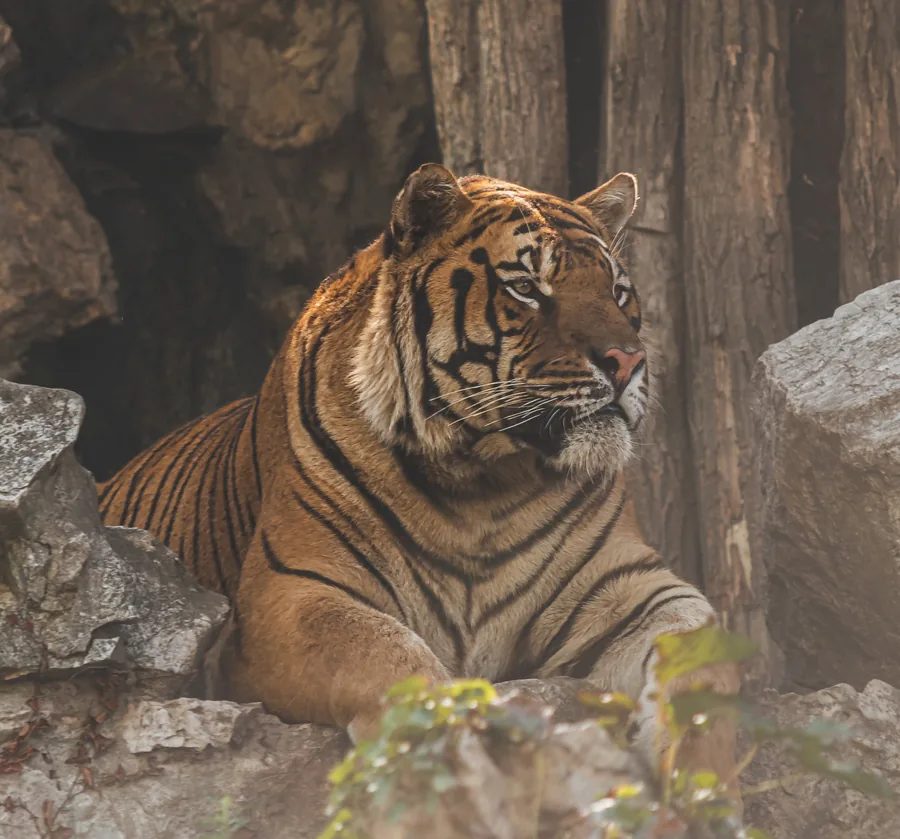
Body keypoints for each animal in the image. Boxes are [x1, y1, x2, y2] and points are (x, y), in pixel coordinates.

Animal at [98, 163, 740, 793]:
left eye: (617, 291)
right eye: (526, 288)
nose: (628, 361)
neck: (488, 484)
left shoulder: (633, 587)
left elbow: (702, 656)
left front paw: (704, 785)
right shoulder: (289, 595)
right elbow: (387, 653)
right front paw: (459, 756)